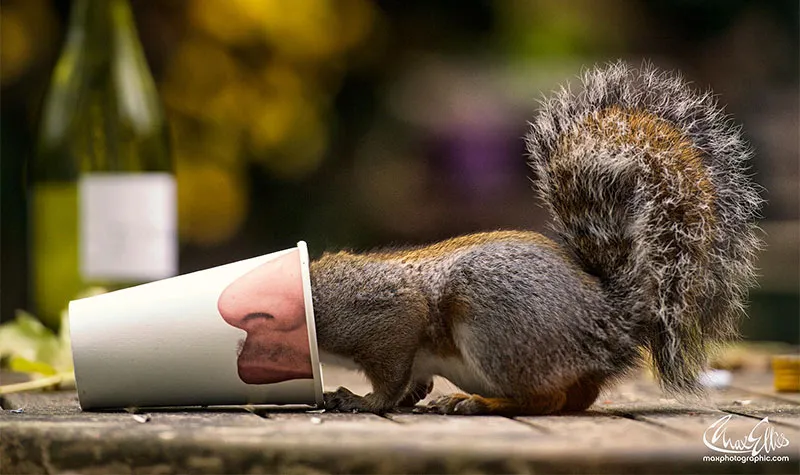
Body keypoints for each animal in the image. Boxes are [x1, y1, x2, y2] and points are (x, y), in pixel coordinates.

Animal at [309, 61, 763, 416]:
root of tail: (608, 322)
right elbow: (414, 382)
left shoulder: (383, 318)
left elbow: (390, 377)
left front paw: (360, 400)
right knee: (577, 398)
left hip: (495, 328)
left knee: (547, 400)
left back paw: (480, 404)